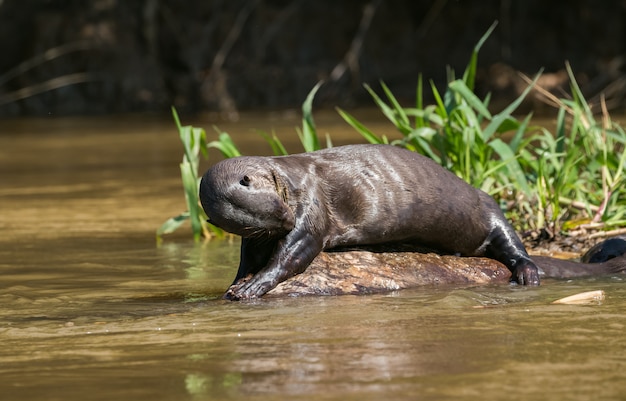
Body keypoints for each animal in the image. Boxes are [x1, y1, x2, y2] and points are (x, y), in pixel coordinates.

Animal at [200, 145, 540, 300]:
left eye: (278, 207)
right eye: (261, 221)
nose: (287, 220)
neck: (288, 179)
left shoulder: (311, 204)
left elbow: (294, 252)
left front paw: (254, 285)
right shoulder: (257, 237)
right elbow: (248, 258)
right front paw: (238, 282)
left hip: (486, 207)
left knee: (509, 240)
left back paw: (527, 273)